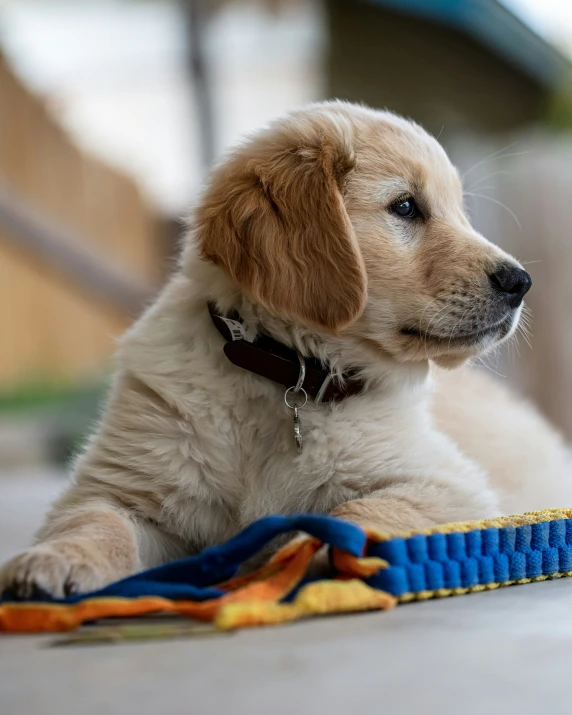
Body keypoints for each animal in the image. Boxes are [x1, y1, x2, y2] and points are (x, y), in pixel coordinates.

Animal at [0, 98, 568, 596]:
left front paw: (293, 548)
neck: (287, 373)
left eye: (460, 213)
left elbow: (356, 512)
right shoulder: (122, 486)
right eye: (406, 206)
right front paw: (56, 558)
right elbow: (97, 522)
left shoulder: (449, 487)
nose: (521, 282)